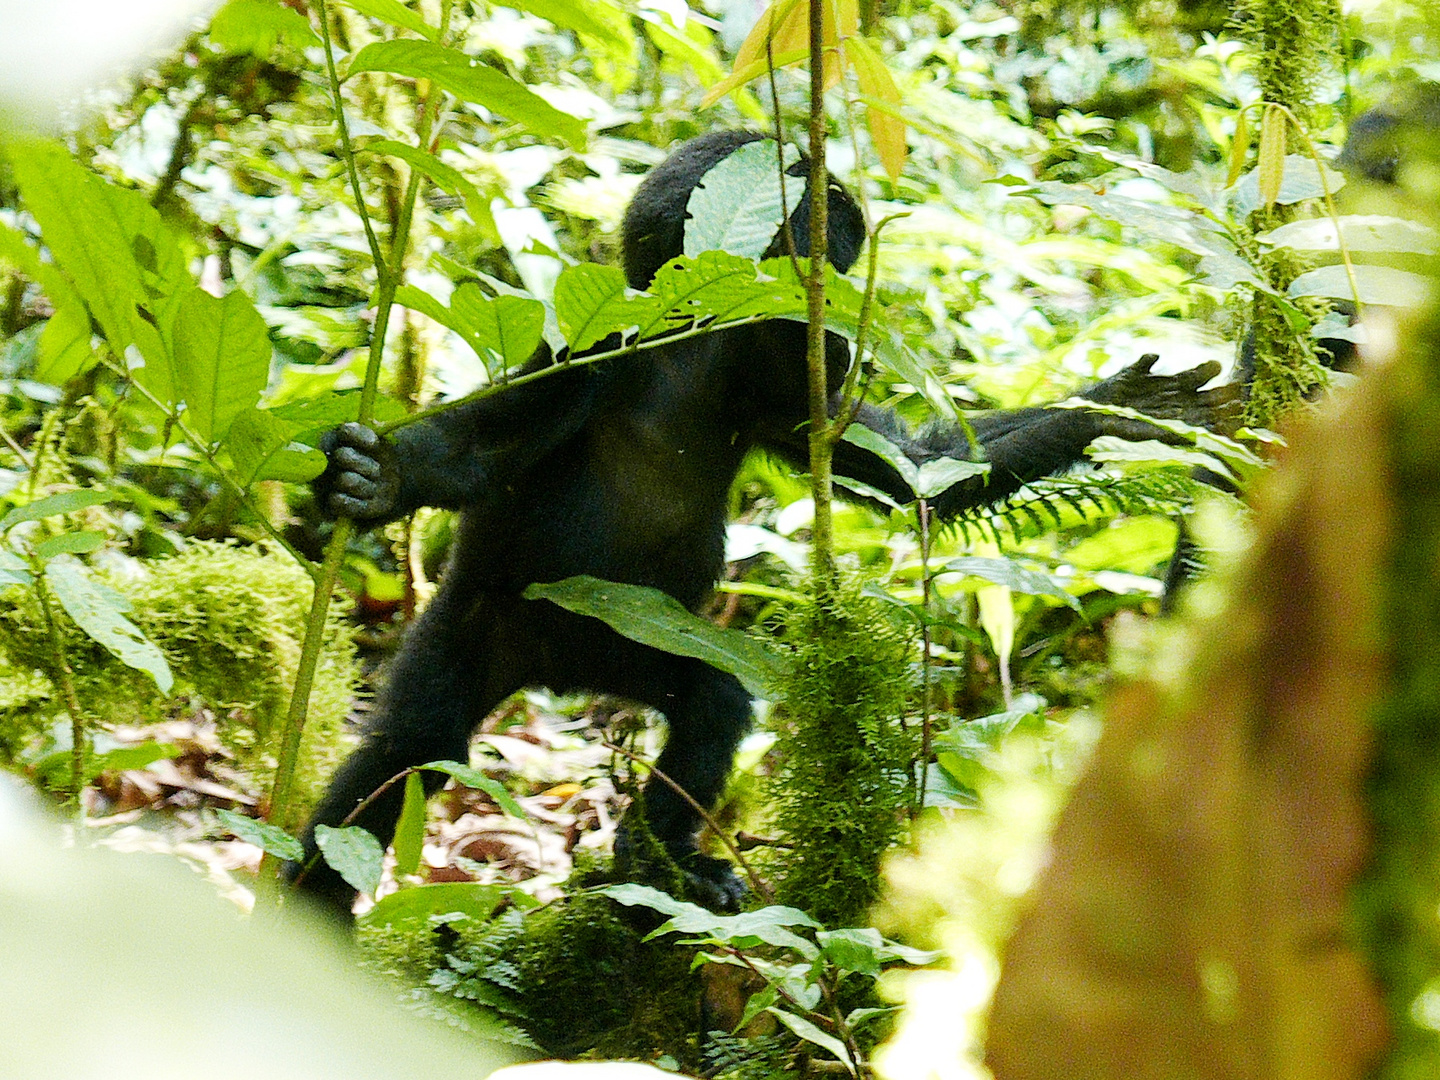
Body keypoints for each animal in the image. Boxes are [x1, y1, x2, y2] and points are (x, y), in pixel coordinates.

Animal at [295, 131, 1238, 915]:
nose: (846, 344)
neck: (689, 345)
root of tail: (553, 680)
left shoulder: (776, 397)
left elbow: (917, 471)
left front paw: (1122, 409)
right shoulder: (589, 349)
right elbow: (484, 444)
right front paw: (381, 479)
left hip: (636, 644)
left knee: (709, 706)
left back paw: (659, 863)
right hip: (479, 628)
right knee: (402, 755)